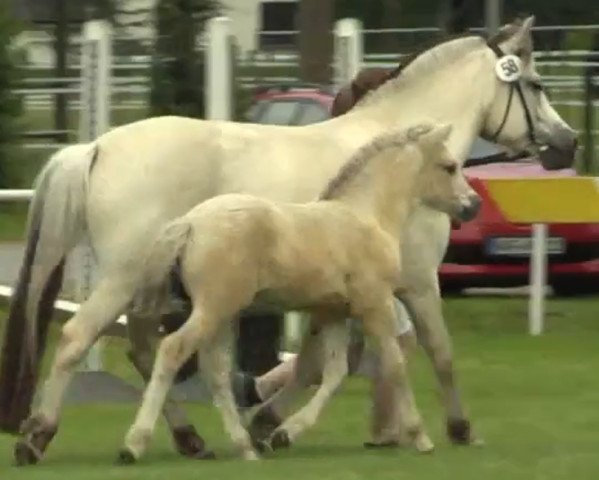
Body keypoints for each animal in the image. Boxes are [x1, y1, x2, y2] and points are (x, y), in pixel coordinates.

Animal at [119, 123, 480, 462]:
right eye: (449, 166)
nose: (473, 205)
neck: (366, 215)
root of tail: (191, 222)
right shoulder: (376, 305)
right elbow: (394, 365)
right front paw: (421, 437)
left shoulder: (334, 312)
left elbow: (334, 372)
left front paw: (283, 433)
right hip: (214, 309)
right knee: (172, 349)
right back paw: (134, 445)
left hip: (222, 314)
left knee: (216, 372)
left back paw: (245, 448)